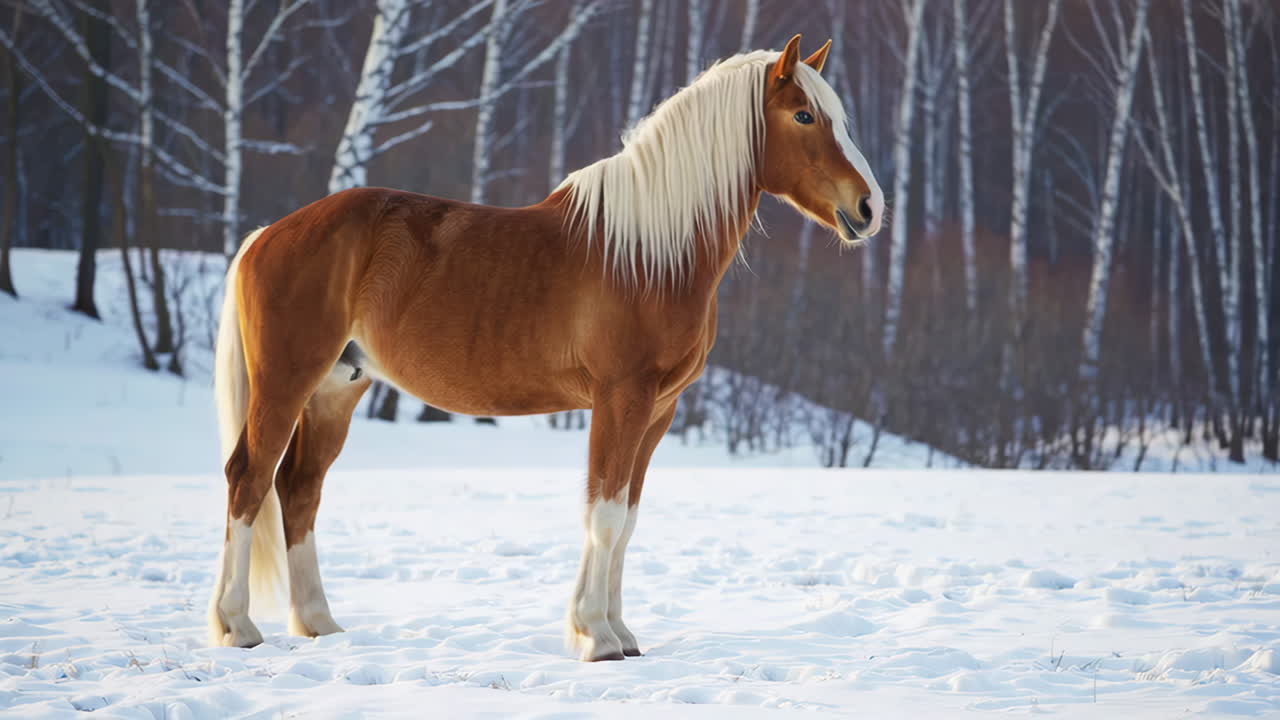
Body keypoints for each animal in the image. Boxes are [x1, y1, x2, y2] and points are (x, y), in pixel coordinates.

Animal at [209, 34, 883, 662]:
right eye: (804, 116)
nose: (869, 207)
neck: (648, 254)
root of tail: (267, 234)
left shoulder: (658, 411)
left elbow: (627, 519)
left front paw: (622, 633)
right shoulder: (620, 400)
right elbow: (604, 514)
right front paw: (596, 637)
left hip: (336, 391)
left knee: (299, 490)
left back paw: (318, 623)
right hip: (286, 382)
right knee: (249, 479)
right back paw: (238, 626)